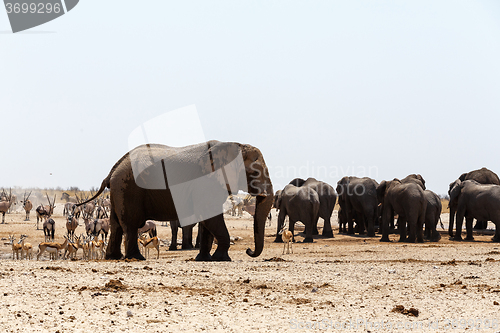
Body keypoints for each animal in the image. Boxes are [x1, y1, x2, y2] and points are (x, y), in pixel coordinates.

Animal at [78, 140, 274, 260]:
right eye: (255, 172)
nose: (249, 251)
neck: (235, 145)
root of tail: (113, 169)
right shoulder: (206, 182)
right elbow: (212, 218)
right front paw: (222, 259)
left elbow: (208, 220)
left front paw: (204, 260)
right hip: (128, 189)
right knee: (131, 224)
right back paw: (136, 258)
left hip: (118, 190)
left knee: (117, 224)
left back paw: (114, 258)